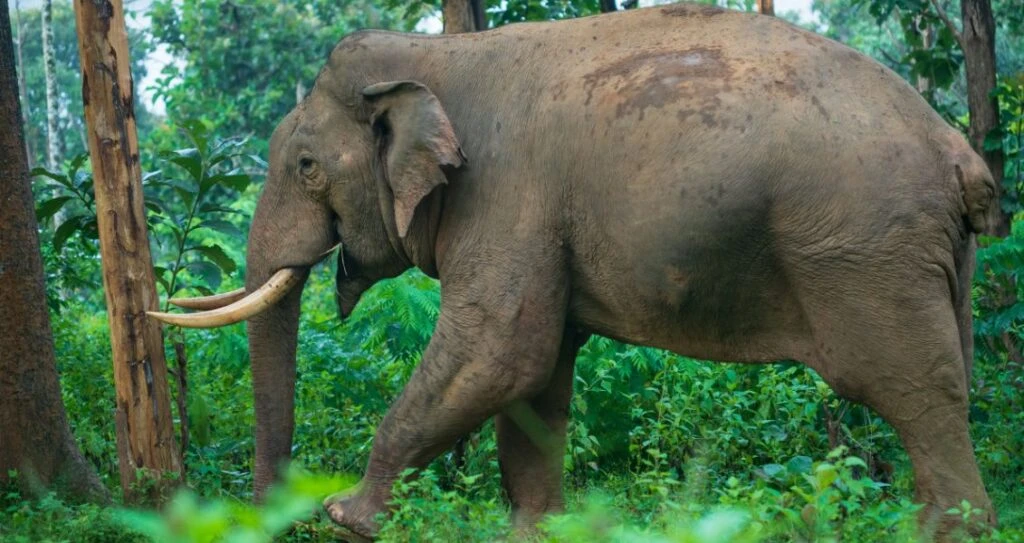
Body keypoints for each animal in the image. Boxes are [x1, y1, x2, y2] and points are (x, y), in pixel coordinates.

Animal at [150, 2, 1000, 539]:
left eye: (306, 167)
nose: (274, 518)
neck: (436, 56)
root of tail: (960, 154)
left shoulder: (507, 192)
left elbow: (498, 349)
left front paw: (349, 519)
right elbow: (537, 372)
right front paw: (536, 529)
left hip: (865, 251)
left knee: (914, 388)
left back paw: (951, 529)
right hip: (927, 254)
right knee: (946, 376)